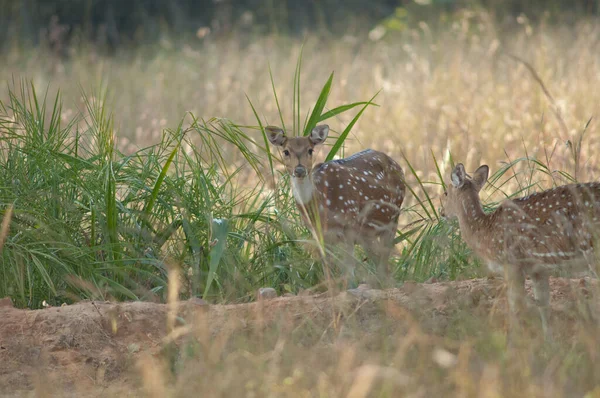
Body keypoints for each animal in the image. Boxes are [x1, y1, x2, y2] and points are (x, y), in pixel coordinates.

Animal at [268, 124, 406, 282]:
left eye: (310, 150)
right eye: (286, 151)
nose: (300, 169)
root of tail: (398, 165)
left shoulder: (350, 226)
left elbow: (349, 269)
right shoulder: (318, 234)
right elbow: (327, 268)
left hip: (394, 218)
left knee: (384, 258)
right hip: (368, 233)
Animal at [440, 163, 600, 340]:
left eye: (446, 192)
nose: (442, 213)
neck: (485, 234)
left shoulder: (512, 262)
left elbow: (516, 307)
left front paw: (515, 341)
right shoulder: (538, 268)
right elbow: (543, 305)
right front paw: (549, 342)